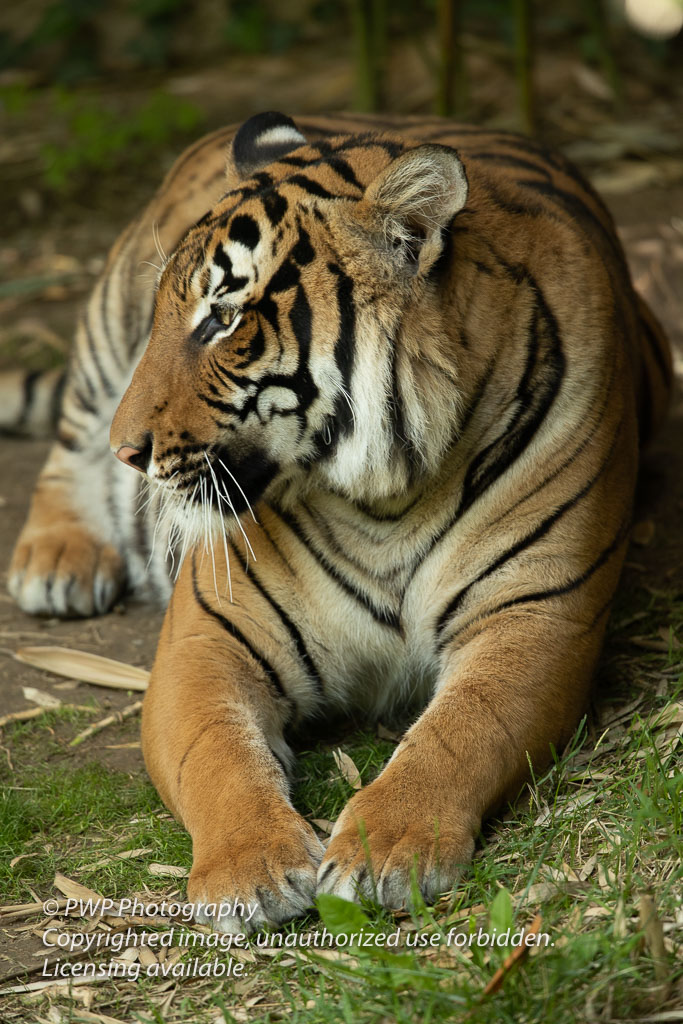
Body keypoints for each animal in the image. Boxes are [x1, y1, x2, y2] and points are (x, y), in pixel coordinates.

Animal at [7, 112, 671, 937]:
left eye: (222, 318)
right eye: (175, 314)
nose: (128, 452)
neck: (383, 499)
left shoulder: (533, 618)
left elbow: (457, 734)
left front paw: (387, 852)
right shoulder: (207, 639)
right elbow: (216, 755)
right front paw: (252, 869)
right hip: (103, 328)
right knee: (68, 437)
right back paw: (58, 560)